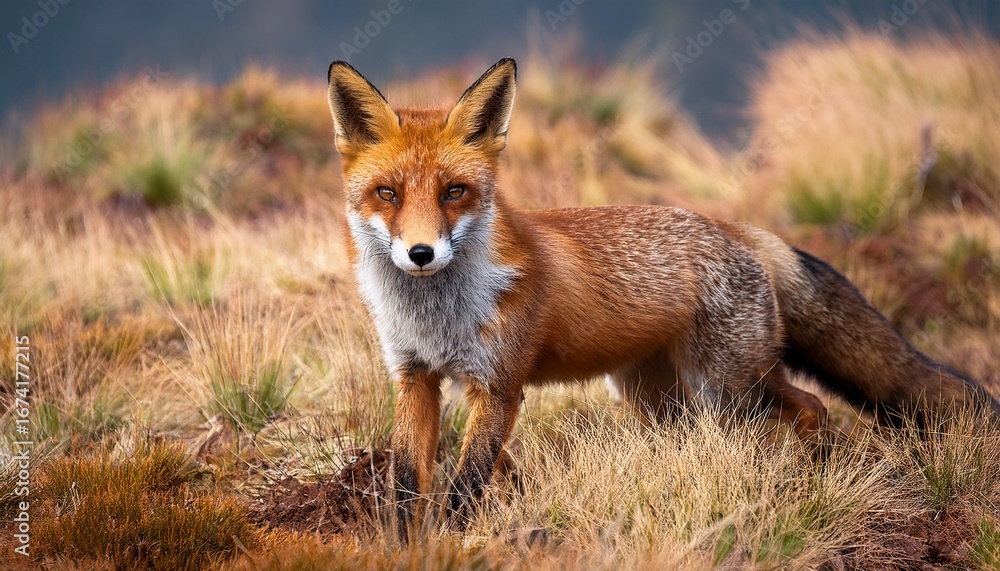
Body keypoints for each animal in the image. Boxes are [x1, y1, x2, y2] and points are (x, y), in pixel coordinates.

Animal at [325, 57, 1000, 527]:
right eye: (388, 194)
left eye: (454, 192)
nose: (420, 253)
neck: (437, 317)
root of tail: (736, 229)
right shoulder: (414, 377)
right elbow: (406, 479)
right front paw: (403, 539)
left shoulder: (499, 386)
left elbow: (466, 485)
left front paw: (452, 537)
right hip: (660, 399)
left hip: (728, 391)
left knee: (812, 407)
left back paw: (813, 480)